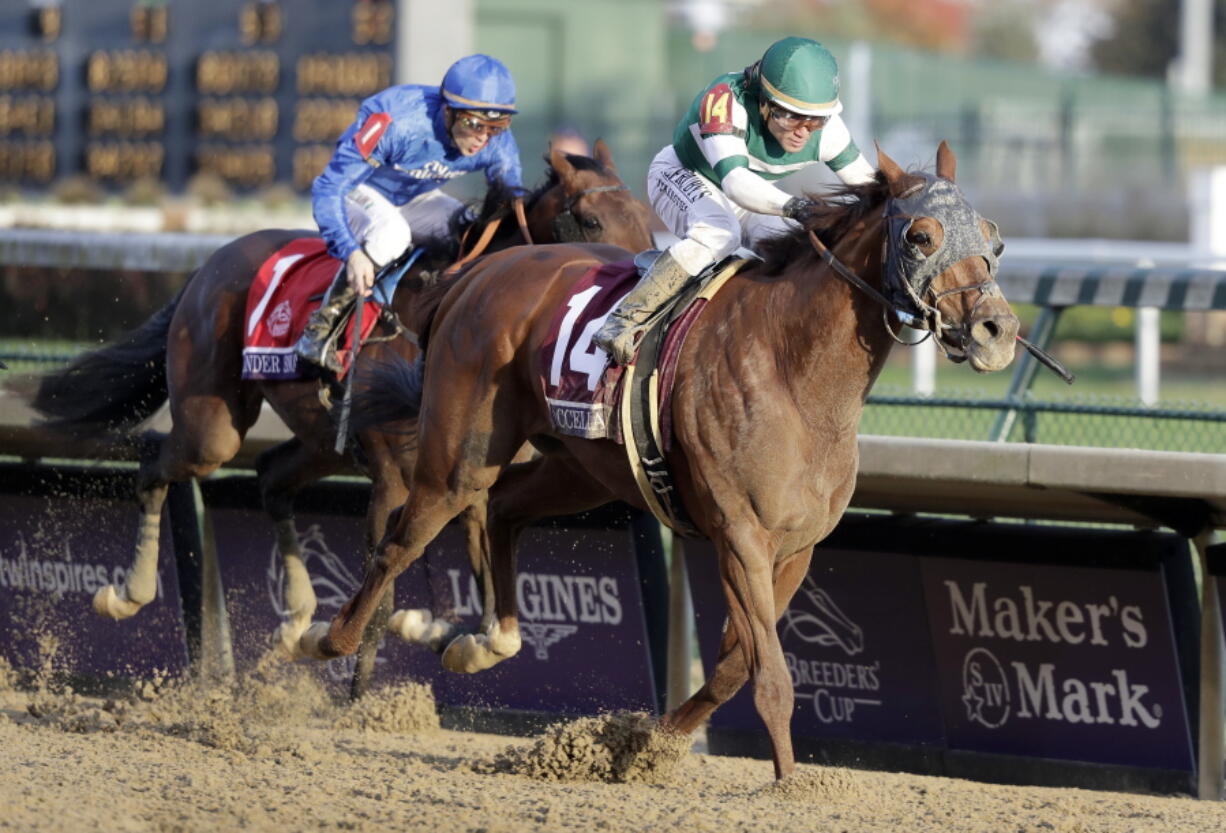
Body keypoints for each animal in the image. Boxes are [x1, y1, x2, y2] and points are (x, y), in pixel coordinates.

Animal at [26, 141, 652, 696]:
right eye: (590, 220)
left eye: (648, 222)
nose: (629, 280)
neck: (434, 307)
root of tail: (207, 265)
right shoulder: (396, 476)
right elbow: (388, 583)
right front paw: (364, 696)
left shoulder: (466, 471)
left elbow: (475, 561)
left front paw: (441, 631)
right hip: (214, 426)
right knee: (159, 465)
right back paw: (129, 592)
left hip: (322, 438)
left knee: (272, 477)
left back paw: (298, 614)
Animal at [301, 143, 1020, 775]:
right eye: (922, 236)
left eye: (994, 240)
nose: (997, 331)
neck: (792, 367)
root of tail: (475, 275)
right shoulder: (739, 536)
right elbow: (770, 675)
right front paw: (790, 780)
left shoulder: (796, 547)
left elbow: (735, 665)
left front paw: (643, 741)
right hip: (460, 451)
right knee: (404, 538)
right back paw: (328, 638)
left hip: (580, 469)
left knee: (501, 509)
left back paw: (482, 641)